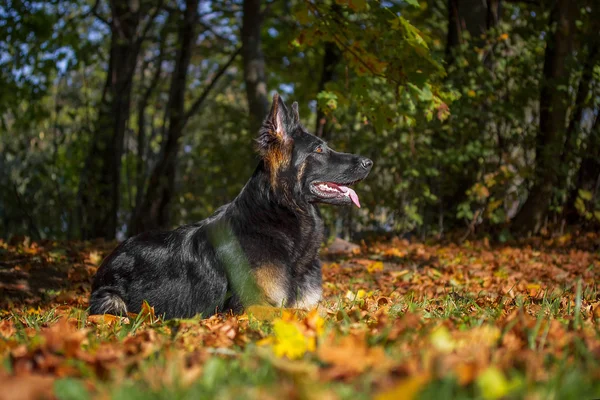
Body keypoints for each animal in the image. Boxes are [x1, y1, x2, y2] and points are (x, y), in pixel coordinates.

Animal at [89, 93, 372, 318]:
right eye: (319, 150)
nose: (369, 162)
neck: (278, 214)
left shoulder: (308, 302)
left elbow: (327, 309)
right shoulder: (252, 306)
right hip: (112, 301)